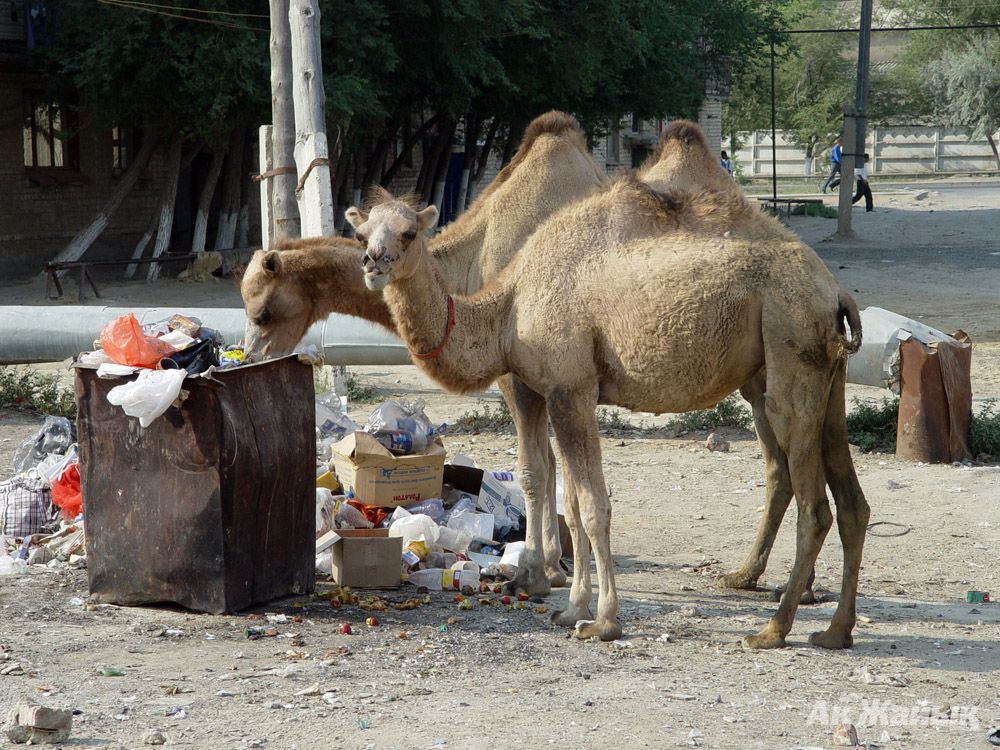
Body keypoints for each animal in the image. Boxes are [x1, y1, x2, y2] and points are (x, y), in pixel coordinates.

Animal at [242, 111, 608, 592]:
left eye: (263, 312)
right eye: (361, 234)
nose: (250, 358)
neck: (465, 275)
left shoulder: (526, 368)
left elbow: (541, 466)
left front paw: (544, 569)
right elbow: (548, 463)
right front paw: (554, 565)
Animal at [348, 173, 872, 648]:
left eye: (408, 232)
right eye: (362, 232)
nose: (373, 262)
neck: (507, 307)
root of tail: (834, 290)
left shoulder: (571, 387)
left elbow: (593, 505)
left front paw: (601, 622)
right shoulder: (545, 388)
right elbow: (565, 495)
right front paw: (570, 607)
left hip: (789, 349)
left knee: (814, 505)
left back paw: (773, 629)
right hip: (824, 379)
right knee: (851, 502)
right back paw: (834, 631)